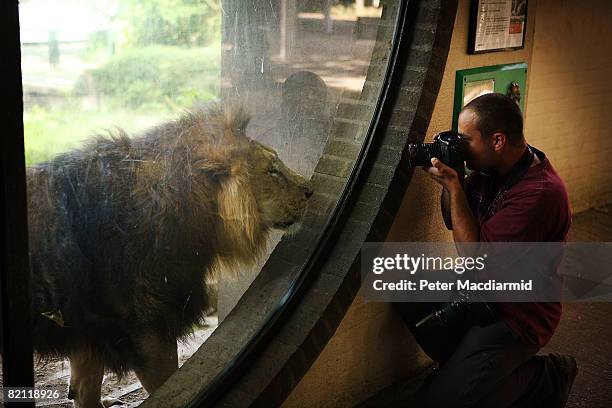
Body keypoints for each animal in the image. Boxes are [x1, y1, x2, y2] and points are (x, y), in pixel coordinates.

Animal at [26, 103, 314, 406]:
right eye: (272, 171)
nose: (311, 190)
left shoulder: (87, 329)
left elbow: (85, 391)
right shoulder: (149, 328)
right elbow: (168, 384)